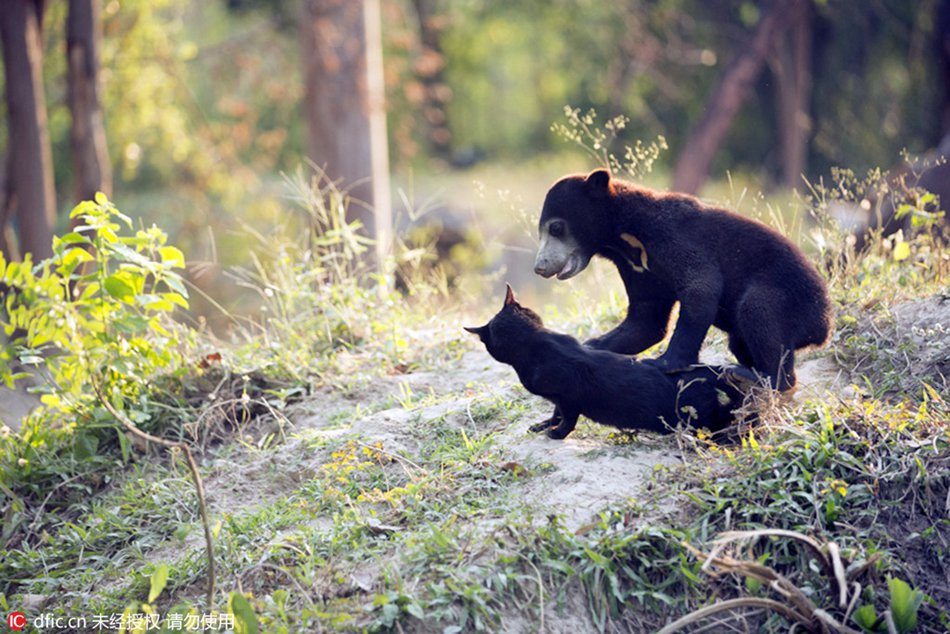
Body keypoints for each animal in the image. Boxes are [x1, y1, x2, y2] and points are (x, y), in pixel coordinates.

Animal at [464, 284, 756, 436]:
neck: (535, 343)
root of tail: (704, 370)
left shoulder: (569, 396)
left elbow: (568, 417)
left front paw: (557, 432)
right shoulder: (558, 399)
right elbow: (556, 411)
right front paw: (545, 424)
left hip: (698, 417)